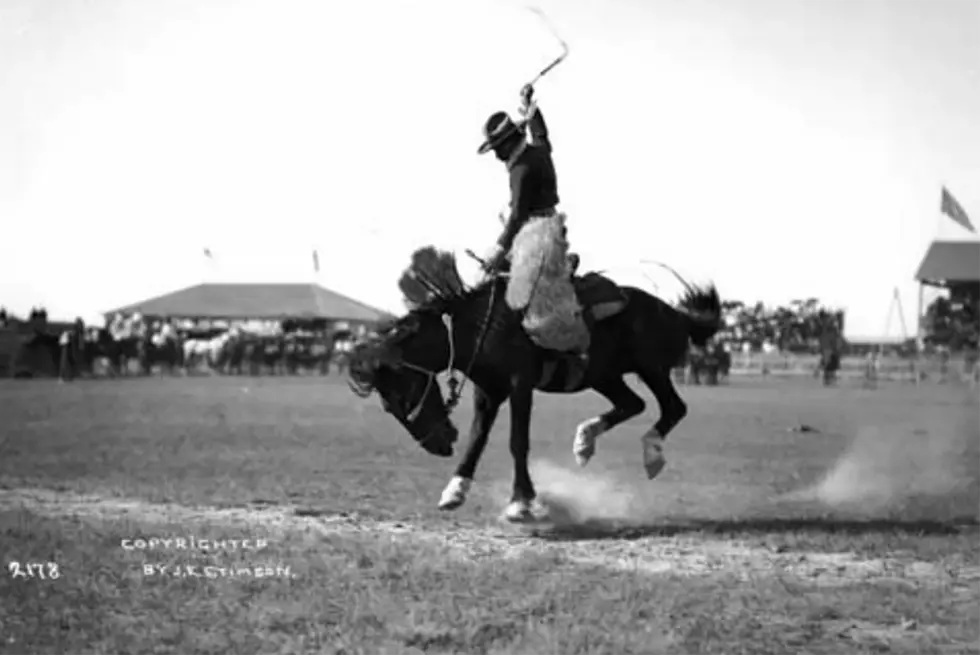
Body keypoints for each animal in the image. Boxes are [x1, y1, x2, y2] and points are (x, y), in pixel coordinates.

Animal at [344, 245, 720, 524]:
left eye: (401, 393)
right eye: (387, 405)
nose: (436, 445)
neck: (484, 327)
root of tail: (676, 313)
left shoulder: (519, 385)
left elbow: (517, 441)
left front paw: (521, 503)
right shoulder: (488, 391)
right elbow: (477, 438)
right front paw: (454, 490)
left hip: (651, 368)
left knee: (673, 407)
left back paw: (651, 454)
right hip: (603, 375)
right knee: (633, 404)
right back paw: (584, 441)